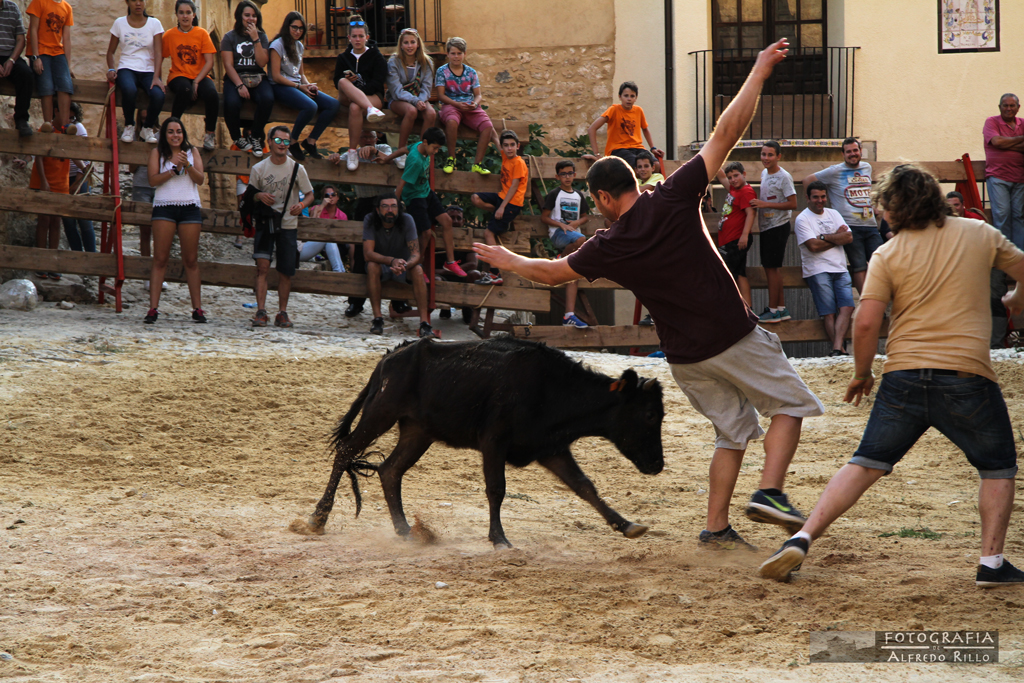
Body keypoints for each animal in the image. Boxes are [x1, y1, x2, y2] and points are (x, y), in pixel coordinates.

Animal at [293, 337, 665, 549]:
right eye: (649, 415)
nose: (658, 464)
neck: (555, 390)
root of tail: (389, 357)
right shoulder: (494, 440)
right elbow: (496, 488)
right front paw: (499, 538)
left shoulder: (550, 448)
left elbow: (585, 486)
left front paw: (627, 525)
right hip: (380, 413)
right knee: (346, 451)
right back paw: (317, 519)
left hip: (418, 432)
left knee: (390, 470)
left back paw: (405, 530)